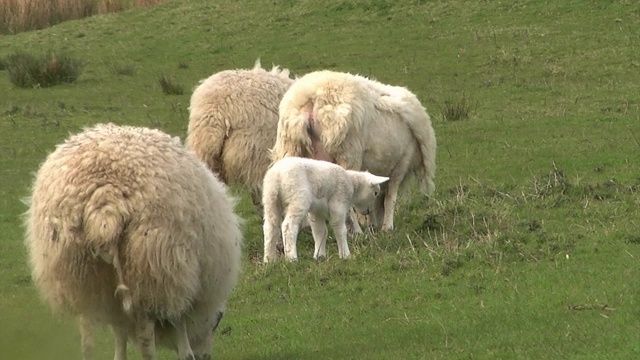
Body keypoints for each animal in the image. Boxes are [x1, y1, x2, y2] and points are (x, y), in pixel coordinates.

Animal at [24, 123, 242, 360]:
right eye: (217, 322)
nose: (206, 357)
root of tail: (106, 198)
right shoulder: (177, 279)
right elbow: (179, 325)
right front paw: (187, 353)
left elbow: (119, 332)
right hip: (150, 264)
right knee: (146, 338)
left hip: (79, 274)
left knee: (87, 337)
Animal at [262, 156, 390, 262]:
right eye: (375, 193)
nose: (369, 211)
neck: (352, 183)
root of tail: (277, 175)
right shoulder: (338, 204)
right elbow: (340, 229)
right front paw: (345, 255)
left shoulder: (316, 212)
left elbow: (320, 231)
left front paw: (319, 256)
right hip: (298, 197)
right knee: (288, 226)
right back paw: (291, 259)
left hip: (270, 199)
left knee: (270, 227)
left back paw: (269, 259)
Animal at [270, 69, 440, 233]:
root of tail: (313, 99)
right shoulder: (403, 161)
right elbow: (390, 197)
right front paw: (387, 227)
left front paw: (373, 224)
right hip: (348, 153)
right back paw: (356, 231)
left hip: (291, 149)